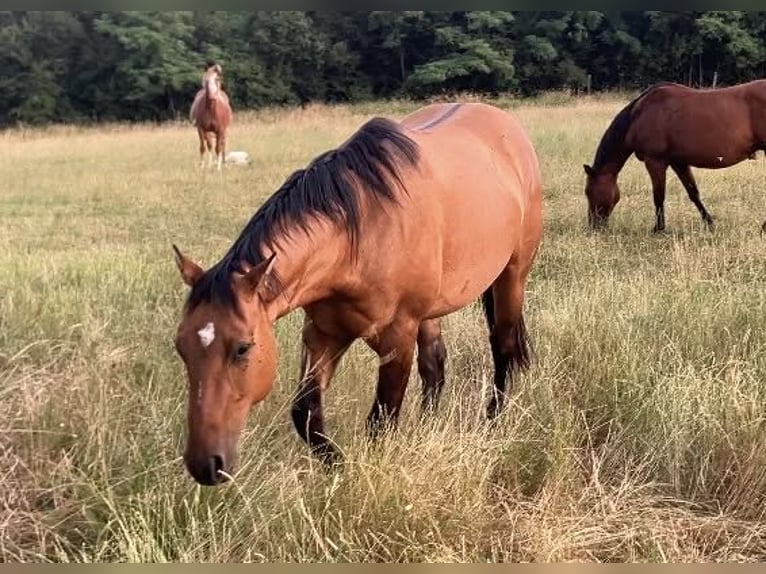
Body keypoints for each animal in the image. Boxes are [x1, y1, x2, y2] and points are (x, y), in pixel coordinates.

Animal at [172, 102, 543, 486]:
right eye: (180, 347)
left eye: (243, 348)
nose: (205, 465)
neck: (360, 233)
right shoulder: (323, 334)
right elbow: (306, 412)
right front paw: (339, 466)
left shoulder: (398, 336)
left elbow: (382, 419)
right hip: (430, 311)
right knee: (434, 365)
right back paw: (427, 427)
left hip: (512, 275)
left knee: (504, 348)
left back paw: (493, 421)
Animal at [583, 80, 766, 232]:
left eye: (588, 192)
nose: (594, 226)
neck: (637, 116)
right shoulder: (678, 162)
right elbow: (693, 193)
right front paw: (709, 222)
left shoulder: (655, 161)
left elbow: (658, 196)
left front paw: (658, 228)